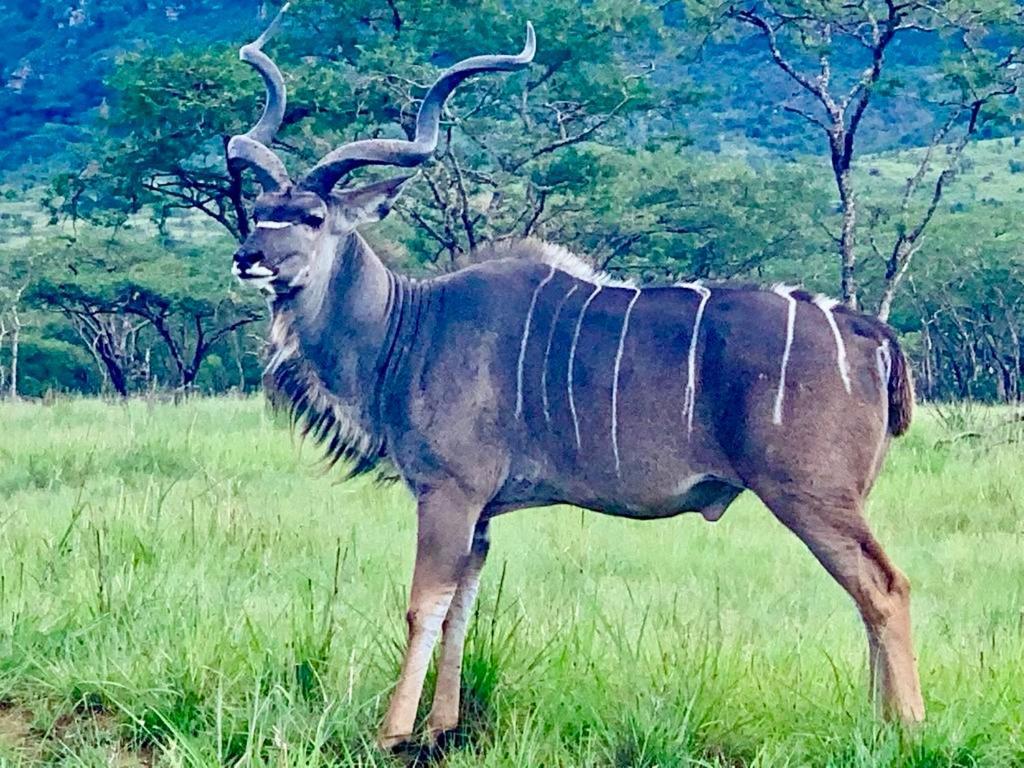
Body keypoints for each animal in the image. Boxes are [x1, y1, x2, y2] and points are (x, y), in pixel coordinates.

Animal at [226, 9, 929, 749]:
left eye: (311, 217)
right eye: (259, 210)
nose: (248, 258)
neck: (408, 327)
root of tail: (867, 331)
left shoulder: (449, 493)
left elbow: (424, 607)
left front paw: (392, 736)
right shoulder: (482, 513)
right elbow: (460, 610)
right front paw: (444, 728)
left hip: (810, 495)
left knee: (884, 588)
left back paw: (907, 730)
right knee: (867, 597)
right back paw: (879, 725)